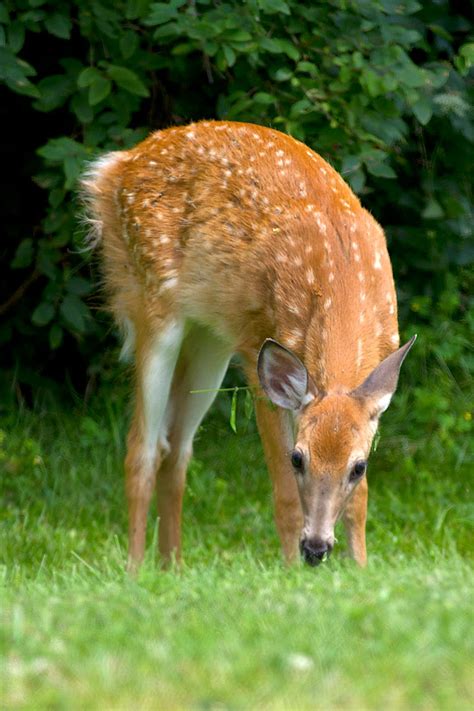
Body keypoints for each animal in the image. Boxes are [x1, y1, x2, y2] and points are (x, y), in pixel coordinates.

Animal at [81, 121, 414, 572]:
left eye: (358, 467)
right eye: (298, 458)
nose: (315, 549)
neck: (341, 284)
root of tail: (115, 166)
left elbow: (359, 503)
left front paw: (360, 570)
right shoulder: (261, 354)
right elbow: (285, 495)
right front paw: (290, 572)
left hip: (212, 340)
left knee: (176, 448)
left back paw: (173, 569)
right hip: (152, 302)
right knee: (141, 449)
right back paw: (135, 572)